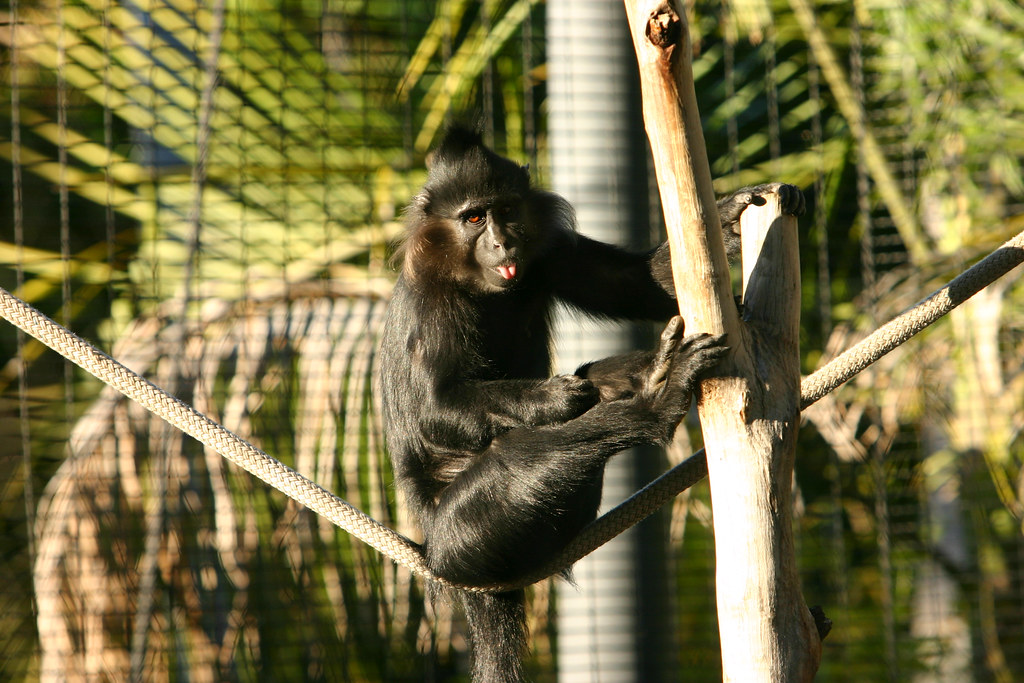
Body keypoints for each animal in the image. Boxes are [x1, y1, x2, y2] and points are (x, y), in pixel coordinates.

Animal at [378, 125, 804, 682]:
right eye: (473, 218)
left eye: (506, 211)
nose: (501, 241)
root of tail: (435, 552)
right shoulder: (431, 298)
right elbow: (435, 407)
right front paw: (553, 397)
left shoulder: (549, 251)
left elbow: (636, 283)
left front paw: (733, 211)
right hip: (462, 537)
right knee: (526, 455)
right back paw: (656, 400)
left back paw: (653, 372)